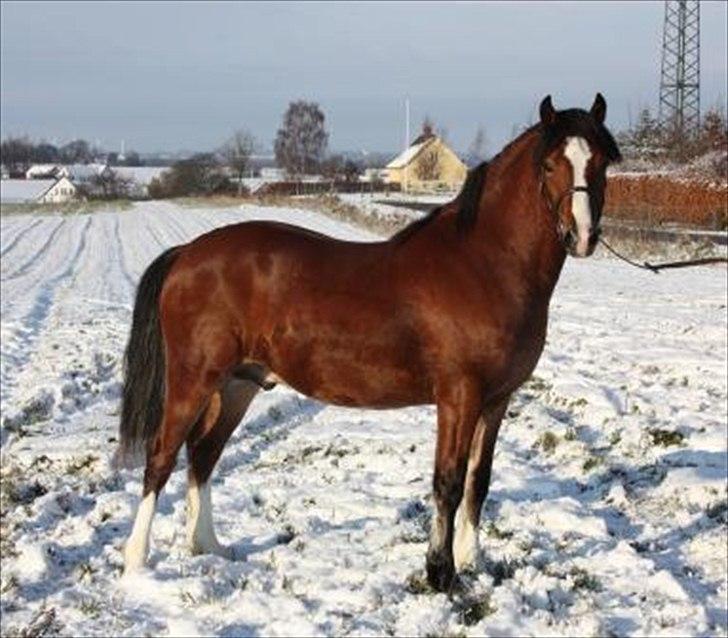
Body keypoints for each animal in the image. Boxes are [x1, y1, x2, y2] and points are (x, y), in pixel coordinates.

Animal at [118, 92, 620, 592]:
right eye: (551, 164)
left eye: (599, 161)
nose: (582, 236)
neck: (485, 263)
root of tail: (187, 254)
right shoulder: (459, 397)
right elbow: (449, 482)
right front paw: (441, 574)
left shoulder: (496, 401)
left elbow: (479, 481)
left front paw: (471, 560)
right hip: (194, 379)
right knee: (161, 456)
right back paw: (136, 561)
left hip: (237, 384)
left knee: (203, 455)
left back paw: (208, 546)